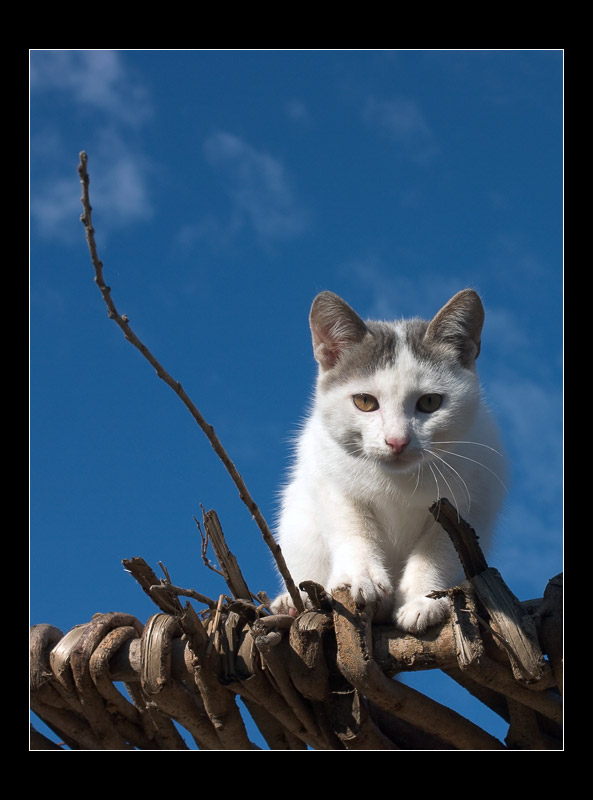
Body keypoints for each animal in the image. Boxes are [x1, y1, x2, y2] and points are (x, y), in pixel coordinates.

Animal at [270, 288, 506, 632]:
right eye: (365, 402)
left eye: (430, 402)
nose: (397, 441)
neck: (399, 479)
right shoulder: (328, 478)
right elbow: (352, 527)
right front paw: (361, 576)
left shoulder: (473, 496)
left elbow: (440, 547)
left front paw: (423, 600)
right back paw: (291, 602)